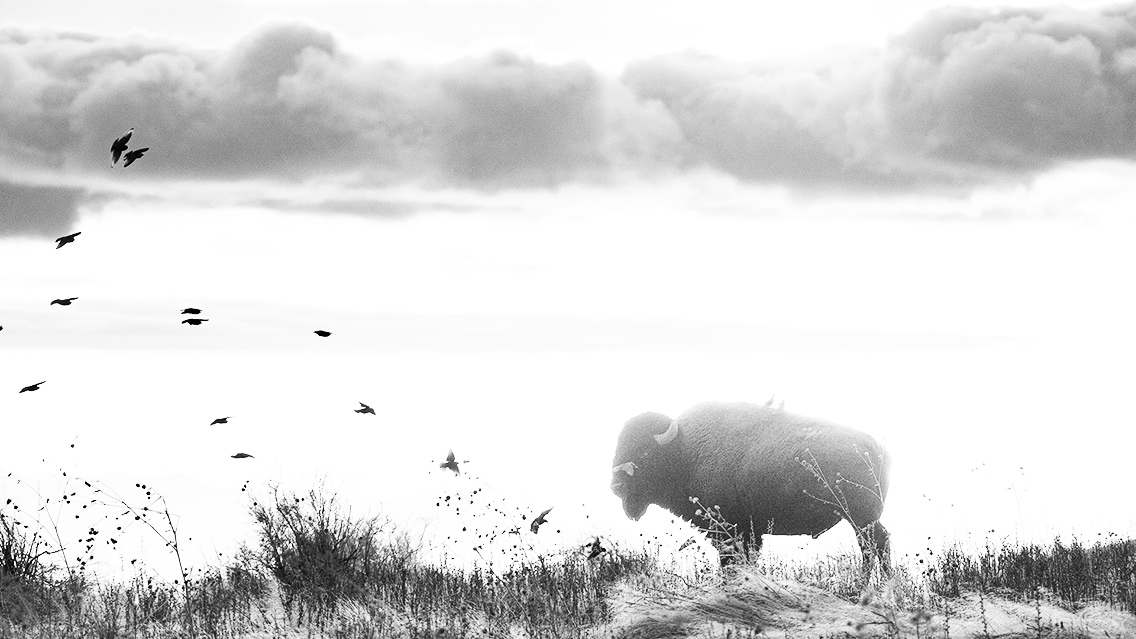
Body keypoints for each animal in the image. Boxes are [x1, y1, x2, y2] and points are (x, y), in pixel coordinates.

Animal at [611, 401, 891, 575]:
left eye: (645, 453)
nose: (616, 485)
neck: (685, 451)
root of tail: (874, 446)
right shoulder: (747, 534)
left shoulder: (732, 533)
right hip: (861, 519)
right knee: (878, 545)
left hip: (859, 518)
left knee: (874, 545)